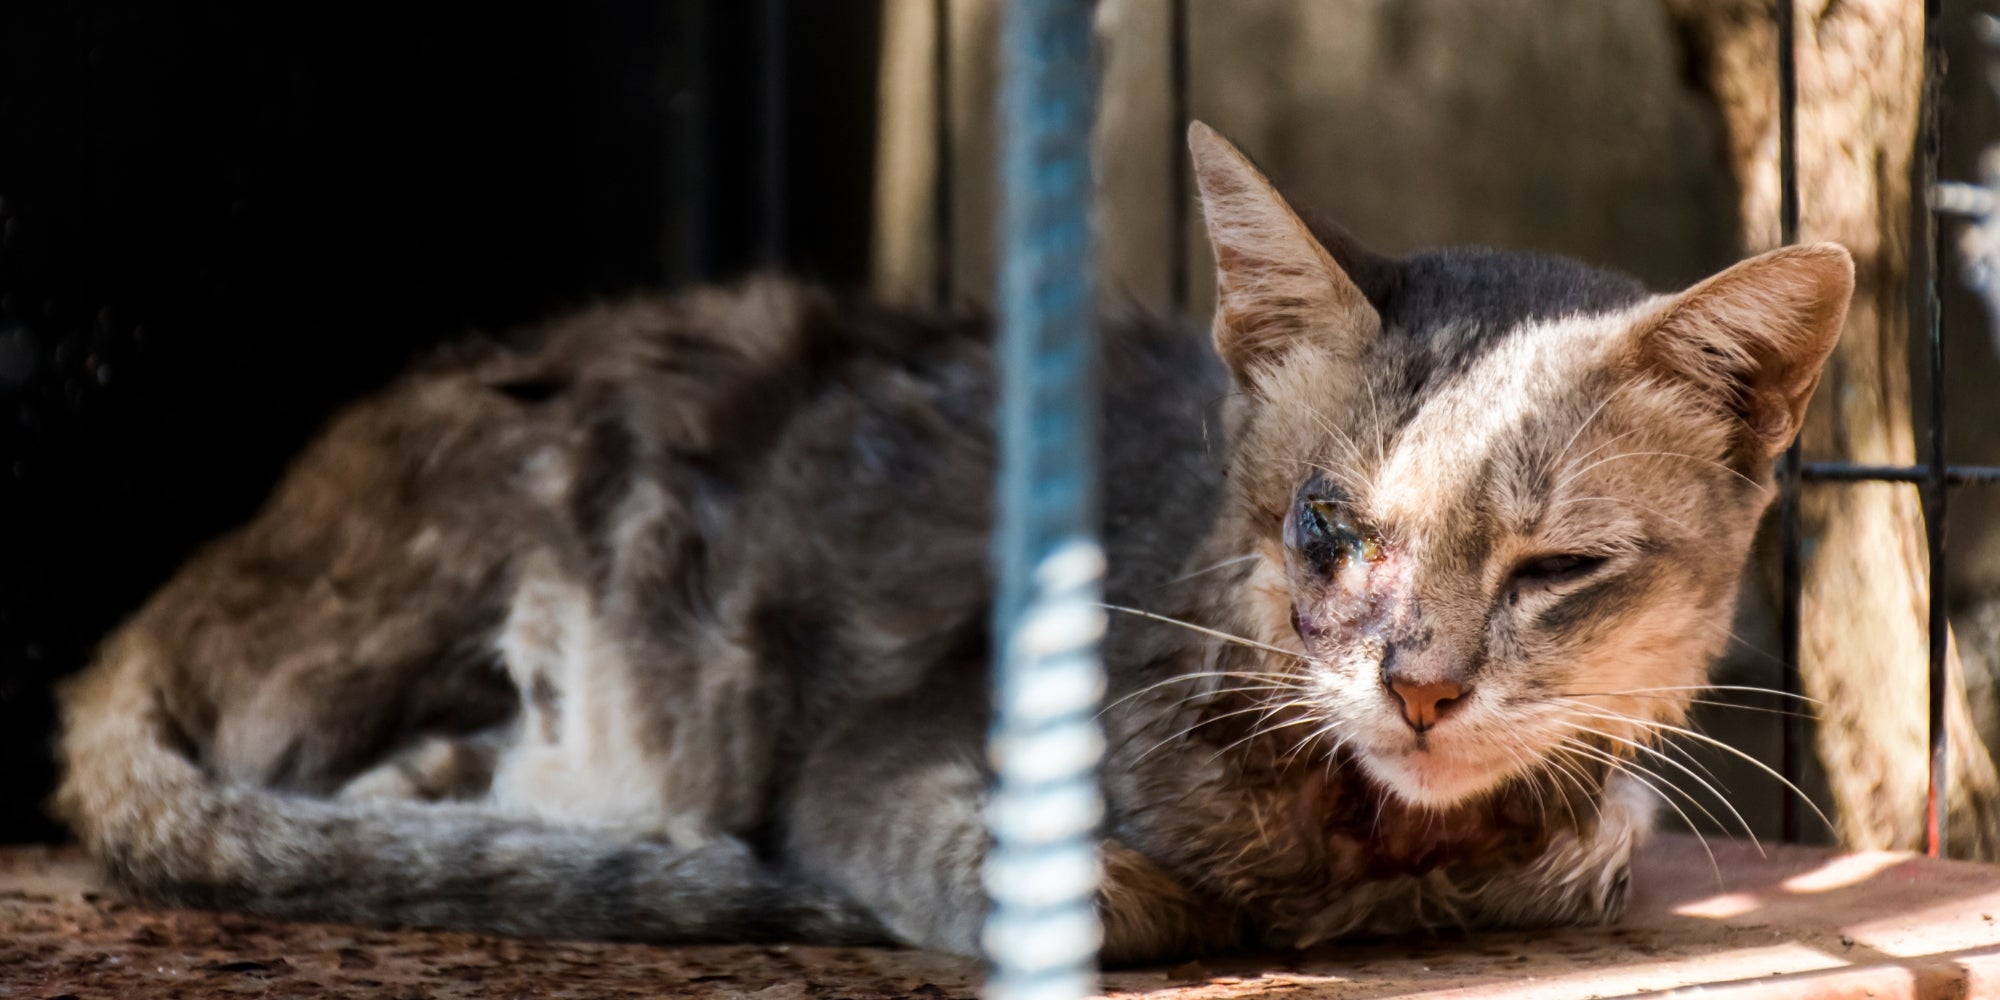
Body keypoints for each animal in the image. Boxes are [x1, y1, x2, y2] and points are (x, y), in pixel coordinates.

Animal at [50, 121, 1856, 964]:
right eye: (1325, 527)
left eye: (1556, 570)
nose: (1415, 691)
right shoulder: (885, 751)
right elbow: (1087, 884)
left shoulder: (1596, 813)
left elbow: (1592, 835)